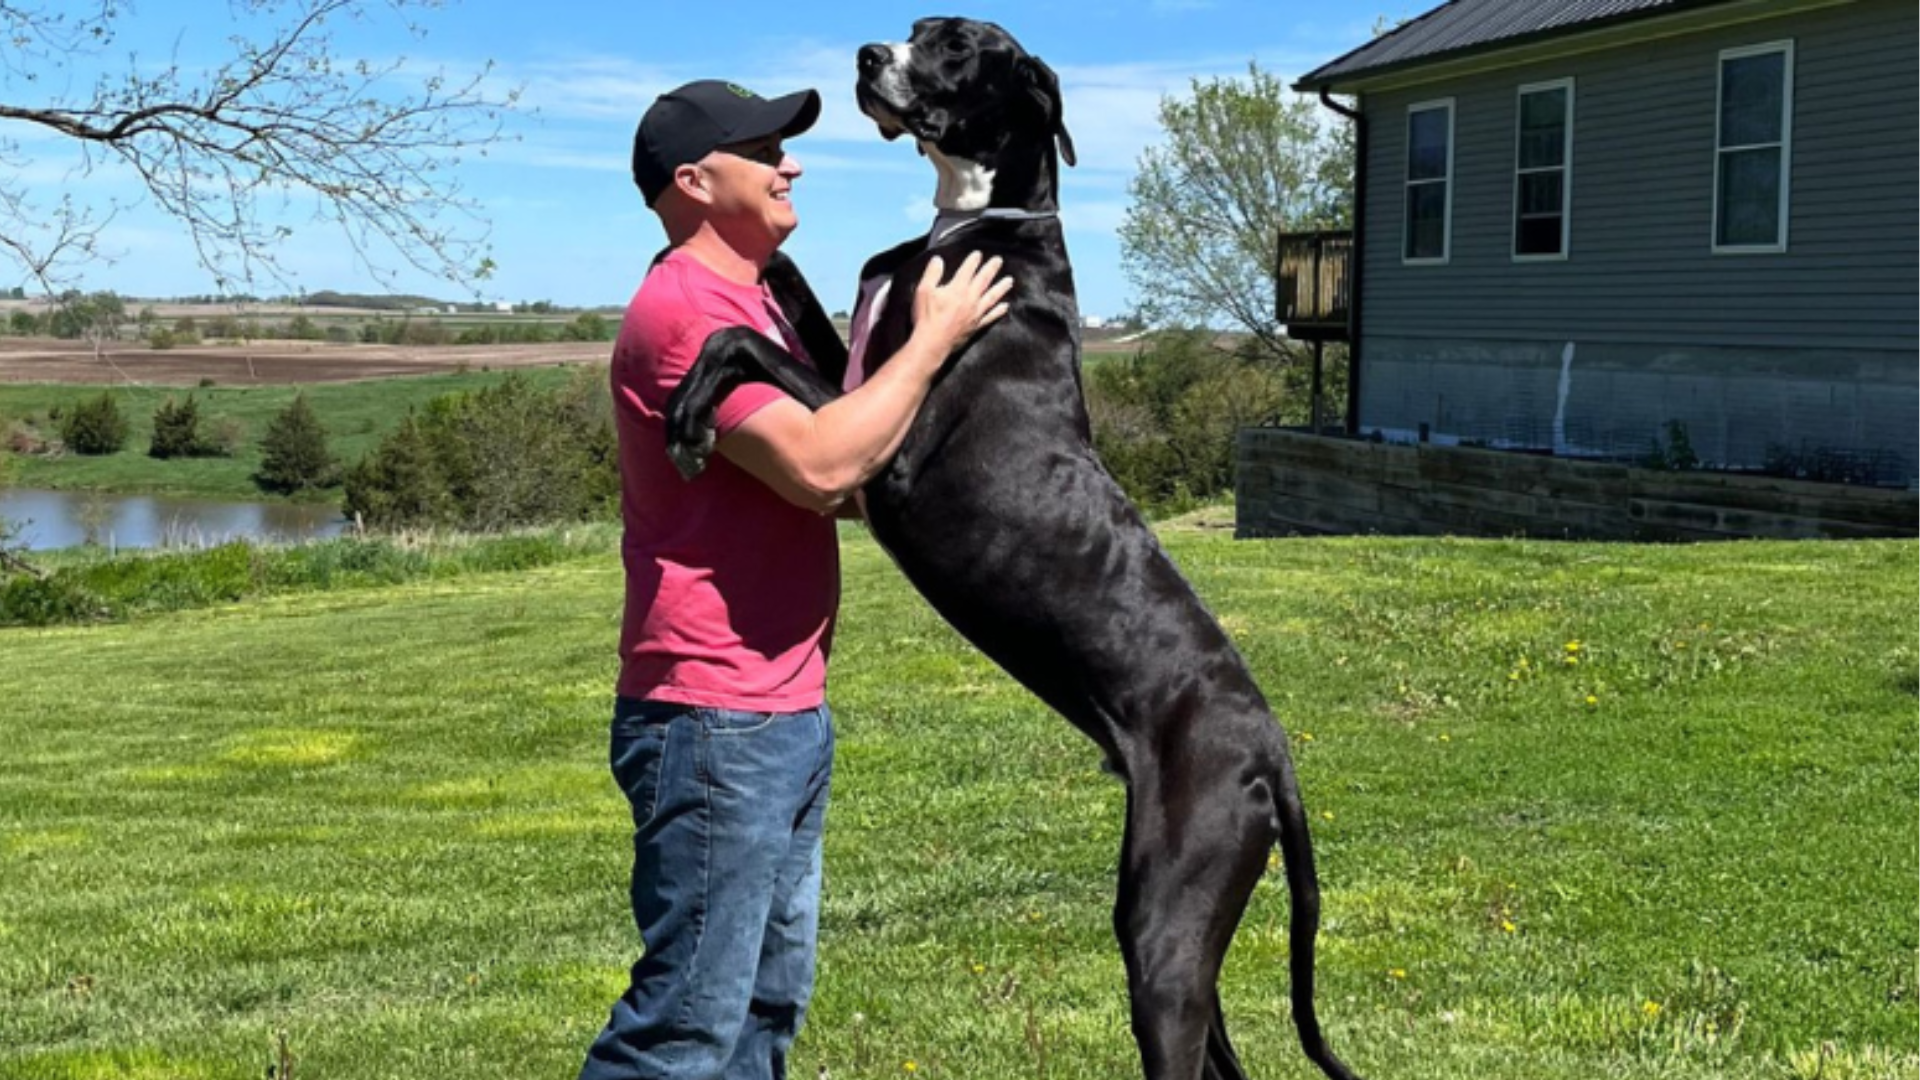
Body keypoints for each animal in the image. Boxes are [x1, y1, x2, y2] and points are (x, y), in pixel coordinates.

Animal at [668, 16, 1359, 1076]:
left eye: (955, 45)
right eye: (917, 32)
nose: (868, 55)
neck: (976, 221)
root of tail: (1274, 751)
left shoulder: (883, 458)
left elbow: (742, 346)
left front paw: (692, 413)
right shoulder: (858, 383)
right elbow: (787, 302)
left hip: (1166, 918)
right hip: (1181, 908)